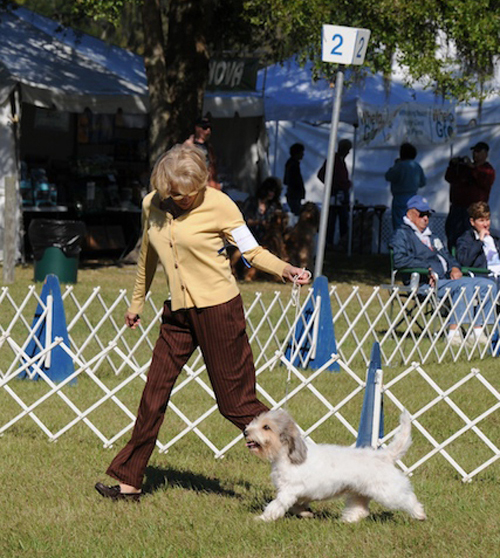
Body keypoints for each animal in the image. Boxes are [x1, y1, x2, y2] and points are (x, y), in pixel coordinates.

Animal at [244, 410, 424, 524]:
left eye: (266, 427)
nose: (246, 432)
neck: (286, 456)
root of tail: (384, 455)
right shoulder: (298, 494)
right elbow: (297, 506)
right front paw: (306, 513)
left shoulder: (288, 491)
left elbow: (276, 505)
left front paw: (262, 519)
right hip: (359, 492)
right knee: (361, 510)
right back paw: (347, 520)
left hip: (388, 491)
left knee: (408, 499)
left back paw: (420, 514)